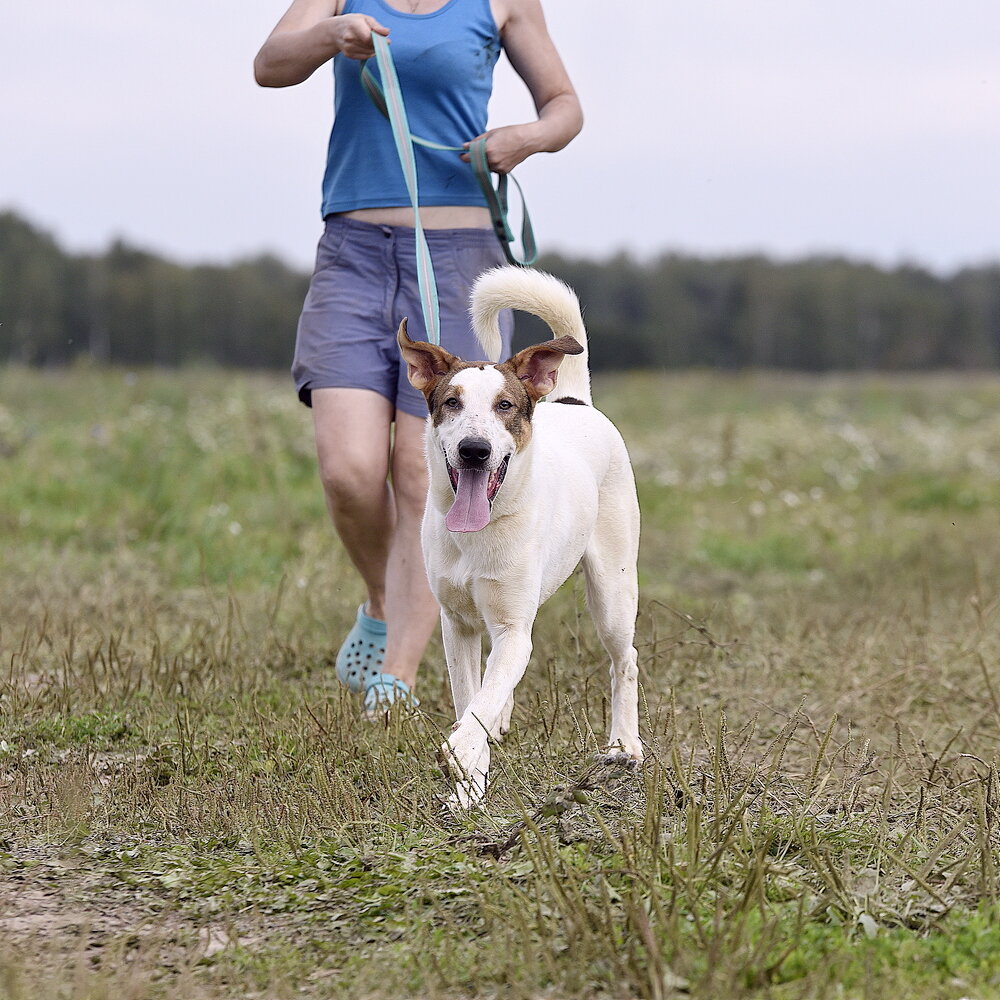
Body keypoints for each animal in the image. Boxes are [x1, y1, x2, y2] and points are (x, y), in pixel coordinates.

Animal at [396, 264, 640, 804]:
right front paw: (470, 784)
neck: (477, 534)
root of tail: (572, 399)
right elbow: (473, 698)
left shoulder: (512, 625)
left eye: (505, 405)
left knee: (625, 657)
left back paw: (624, 745)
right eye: (451, 403)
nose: (474, 449)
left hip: (613, 590)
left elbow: (480, 706)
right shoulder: (457, 624)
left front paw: (462, 758)